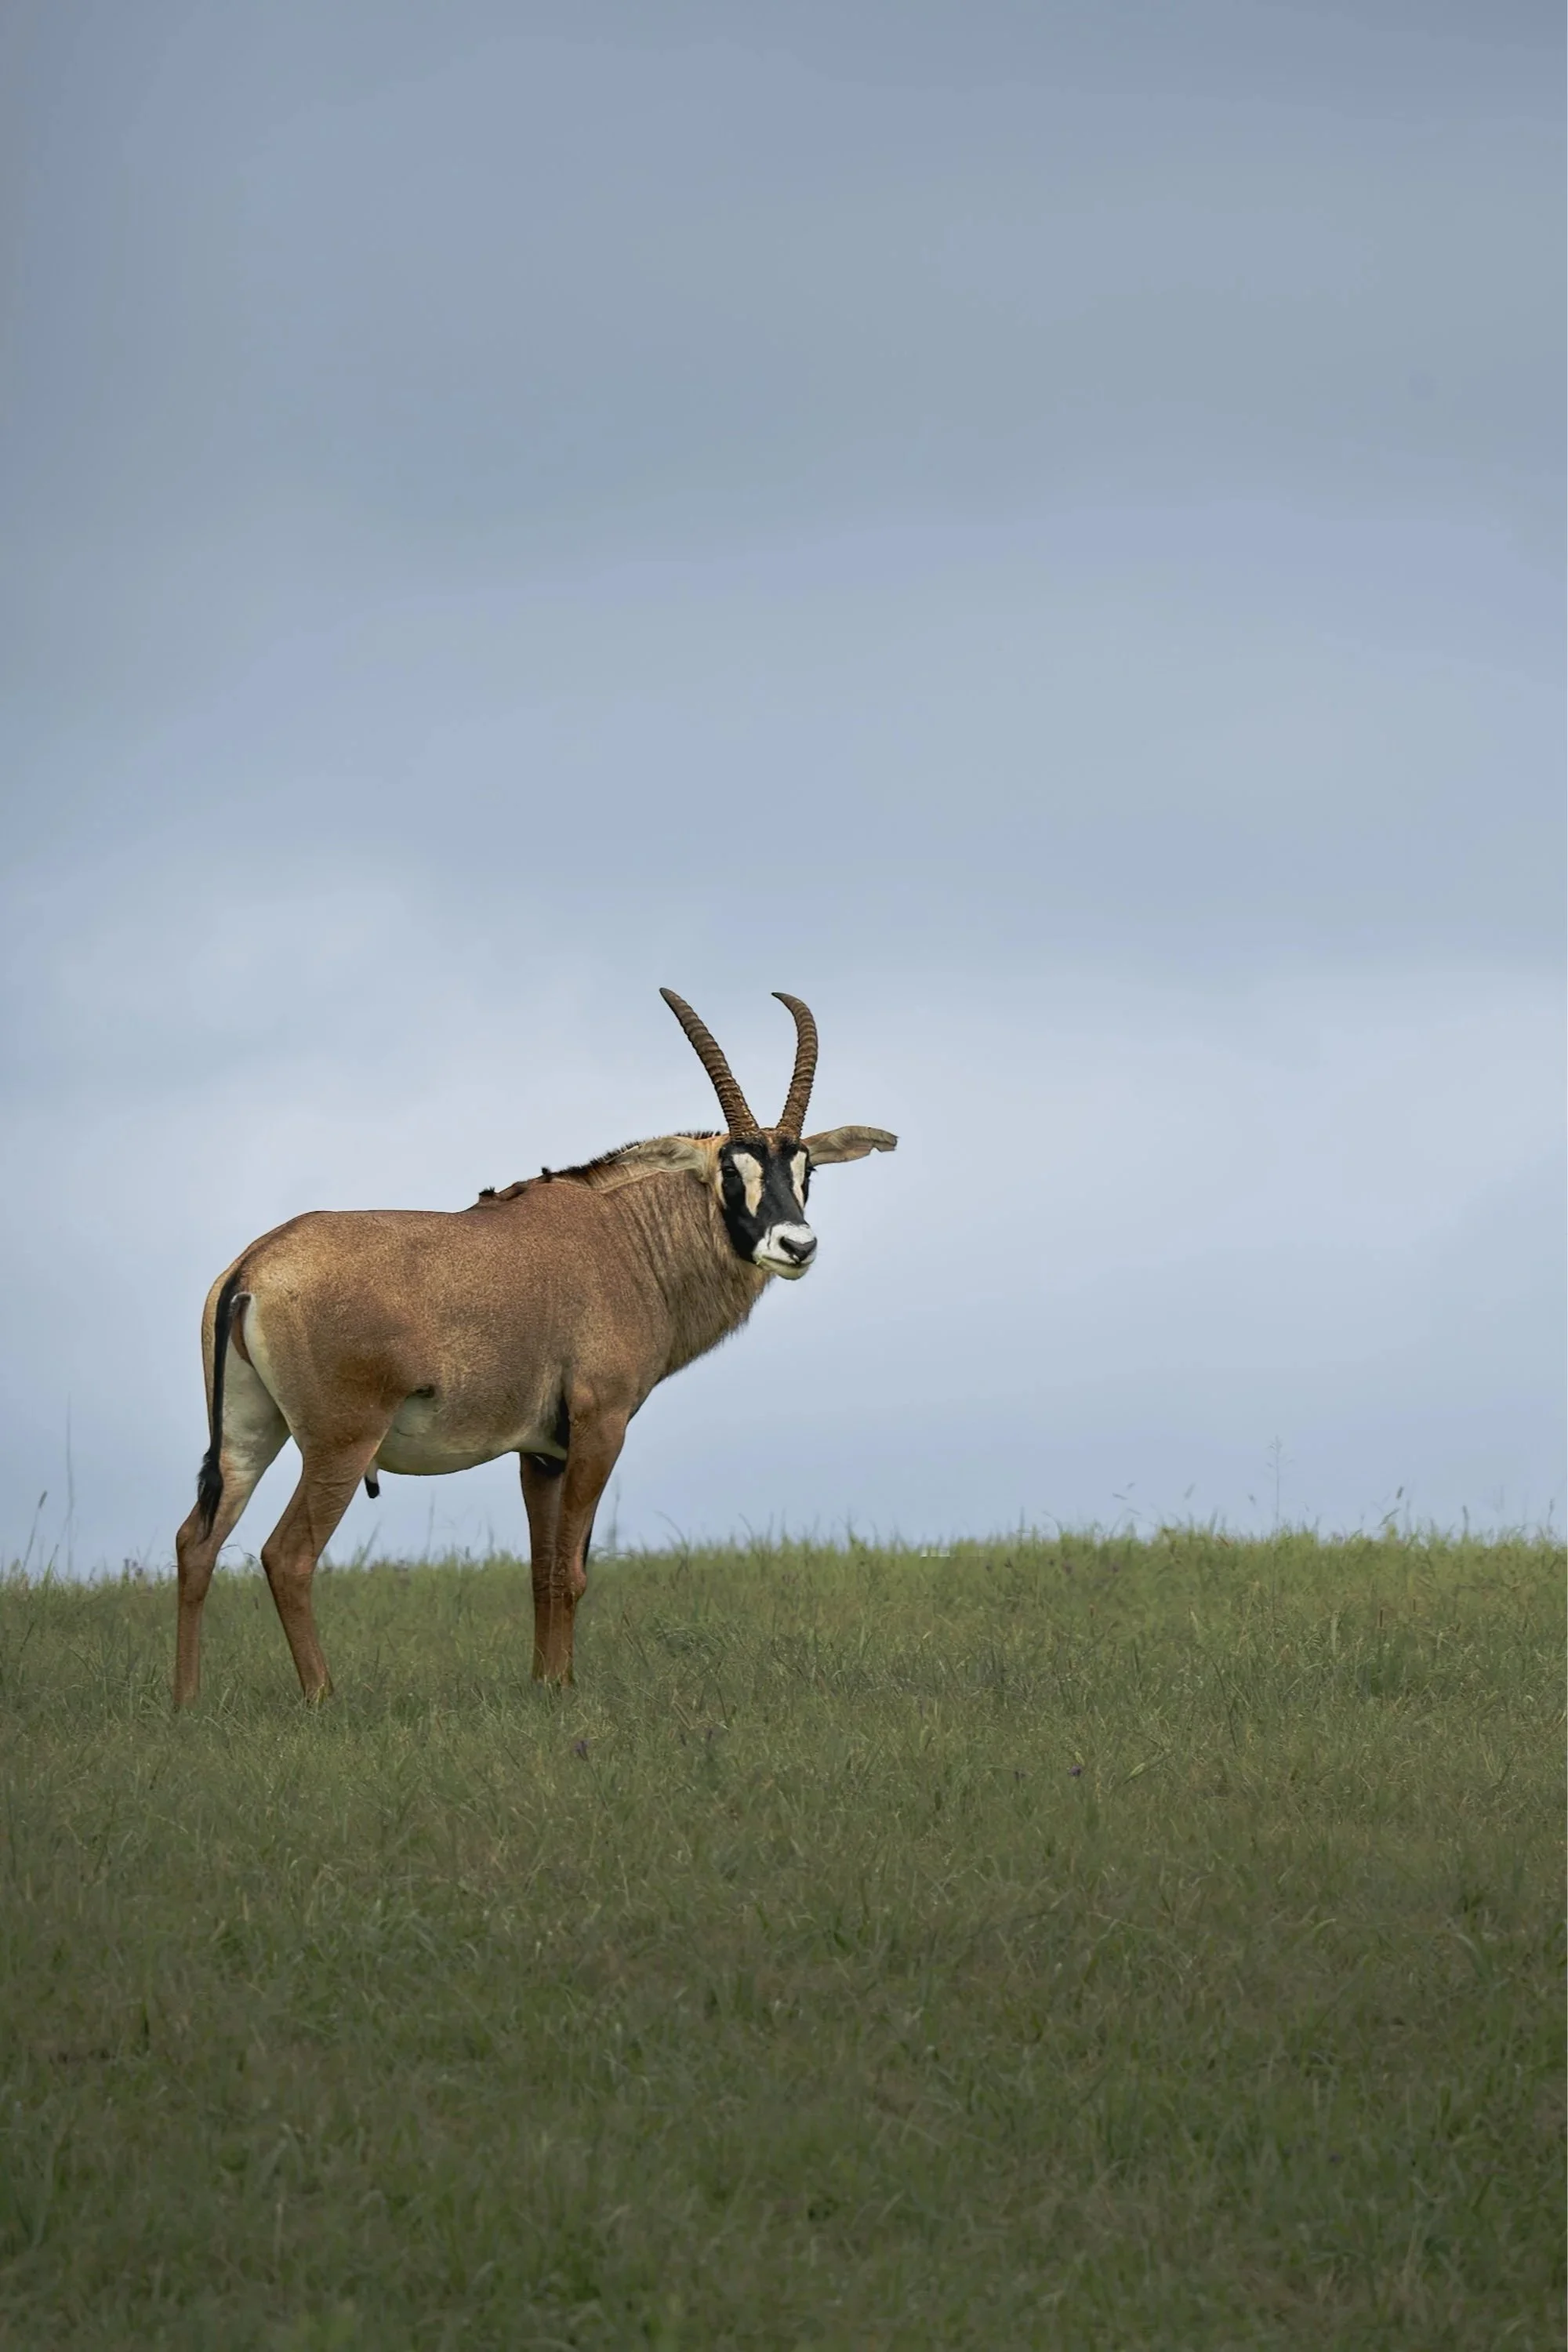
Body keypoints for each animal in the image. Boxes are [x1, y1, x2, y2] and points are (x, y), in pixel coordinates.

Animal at [172, 989, 896, 1703]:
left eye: (804, 1168)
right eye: (730, 1170)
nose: (795, 1245)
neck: (626, 1236)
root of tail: (254, 1268)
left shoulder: (541, 1453)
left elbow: (543, 1570)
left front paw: (548, 1682)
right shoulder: (600, 1427)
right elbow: (573, 1570)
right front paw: (564, 1691)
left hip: (249, 1436)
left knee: (195, 1543)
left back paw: (187, 1703)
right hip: (340, 1444)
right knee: (287, 1556)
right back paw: (323, 1697)